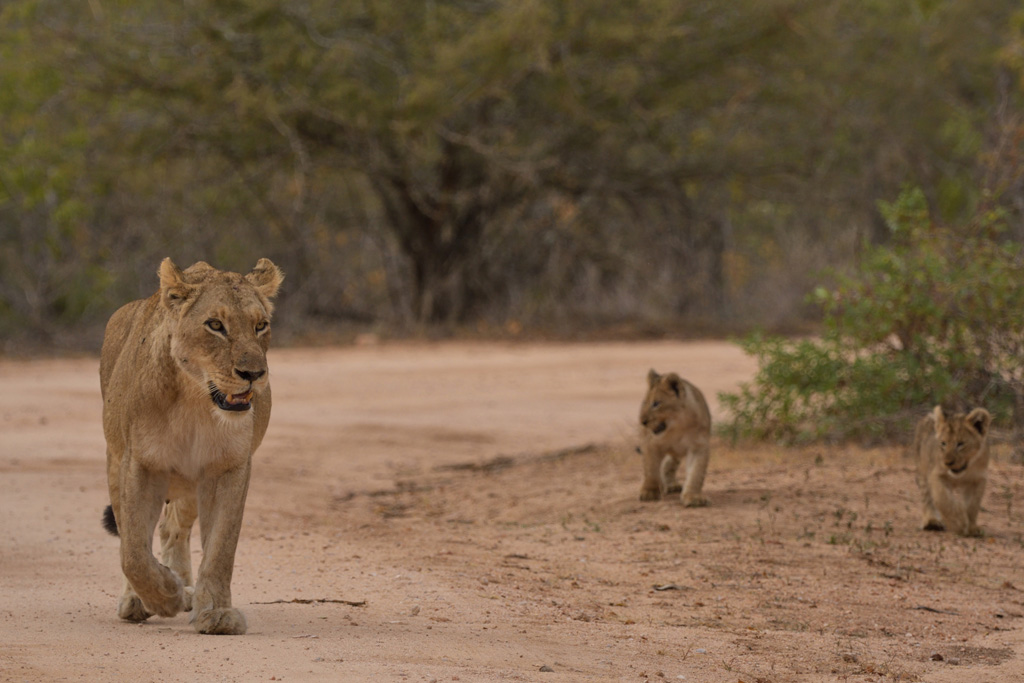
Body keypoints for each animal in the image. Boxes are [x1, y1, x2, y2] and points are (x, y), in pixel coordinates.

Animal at [99, 257, 283, 634]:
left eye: (260, 326)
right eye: (215, 325)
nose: (253, 374)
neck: (194, 402)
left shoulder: (228, 467)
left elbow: (221, 547)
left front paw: (216, 613)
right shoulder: (140, 465)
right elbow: (133, 552)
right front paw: (165, 596)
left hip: (187, 483)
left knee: (172, 527)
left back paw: (183, 584)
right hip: (115, 462)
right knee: (131, 536)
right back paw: (141, 599)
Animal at [638, 369, 712, 507]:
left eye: (656, 404)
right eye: (645, 403)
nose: (642, 422)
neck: (677, 427)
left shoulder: (698, 446)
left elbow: (696, 473)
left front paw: (693, 497)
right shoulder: (651, 444)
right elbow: (651, 469)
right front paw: (649, 492)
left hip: (676, 454)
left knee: (668, 464)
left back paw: (671, 485)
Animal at [912, 405, 992, 537]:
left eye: (960, 444)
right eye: (943, 443)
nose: (947, 463)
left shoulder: (978, 479)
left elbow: (973, 505)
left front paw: (972, 528)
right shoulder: (935, 474)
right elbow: (943, 499)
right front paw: (959, 523)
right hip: (923, 470)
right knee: (927, 497)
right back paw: (932, 522)